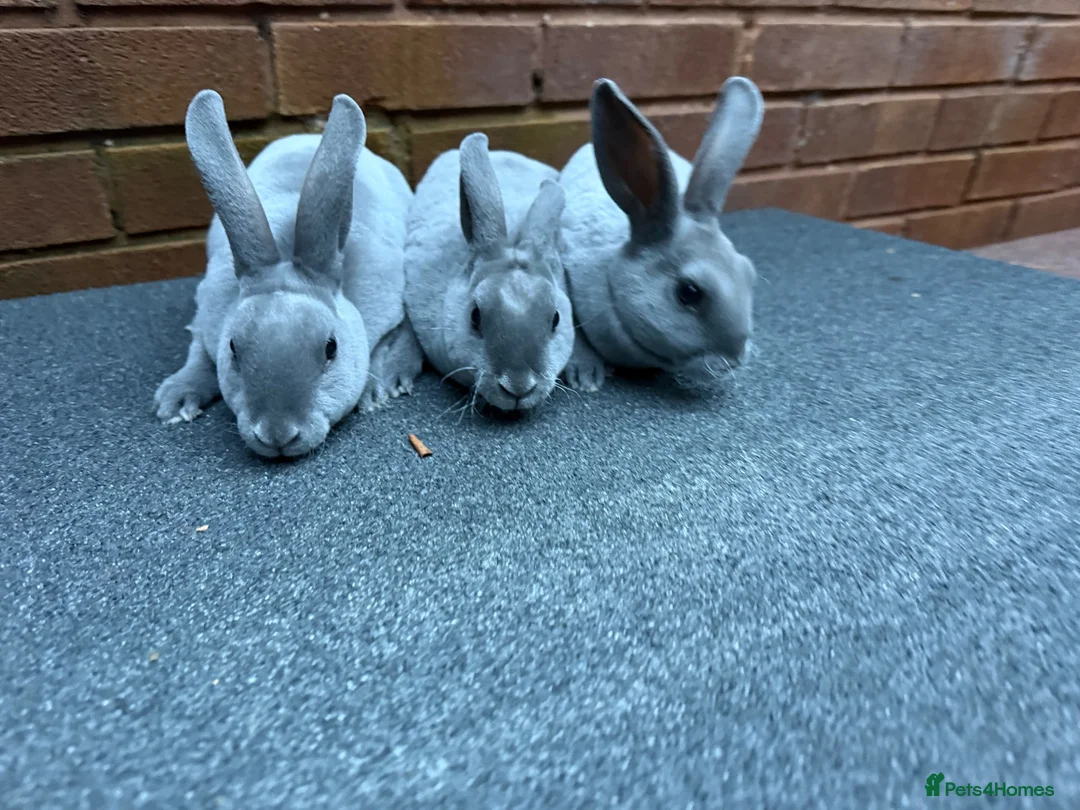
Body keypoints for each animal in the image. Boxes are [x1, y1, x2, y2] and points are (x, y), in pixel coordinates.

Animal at [153, 89, 422, 458]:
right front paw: (175, 400)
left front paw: (374, 389)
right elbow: (199, 354)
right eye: (233, 348)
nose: (276, 436)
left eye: (331, 348)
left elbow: (389, 337)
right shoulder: (208, 314)